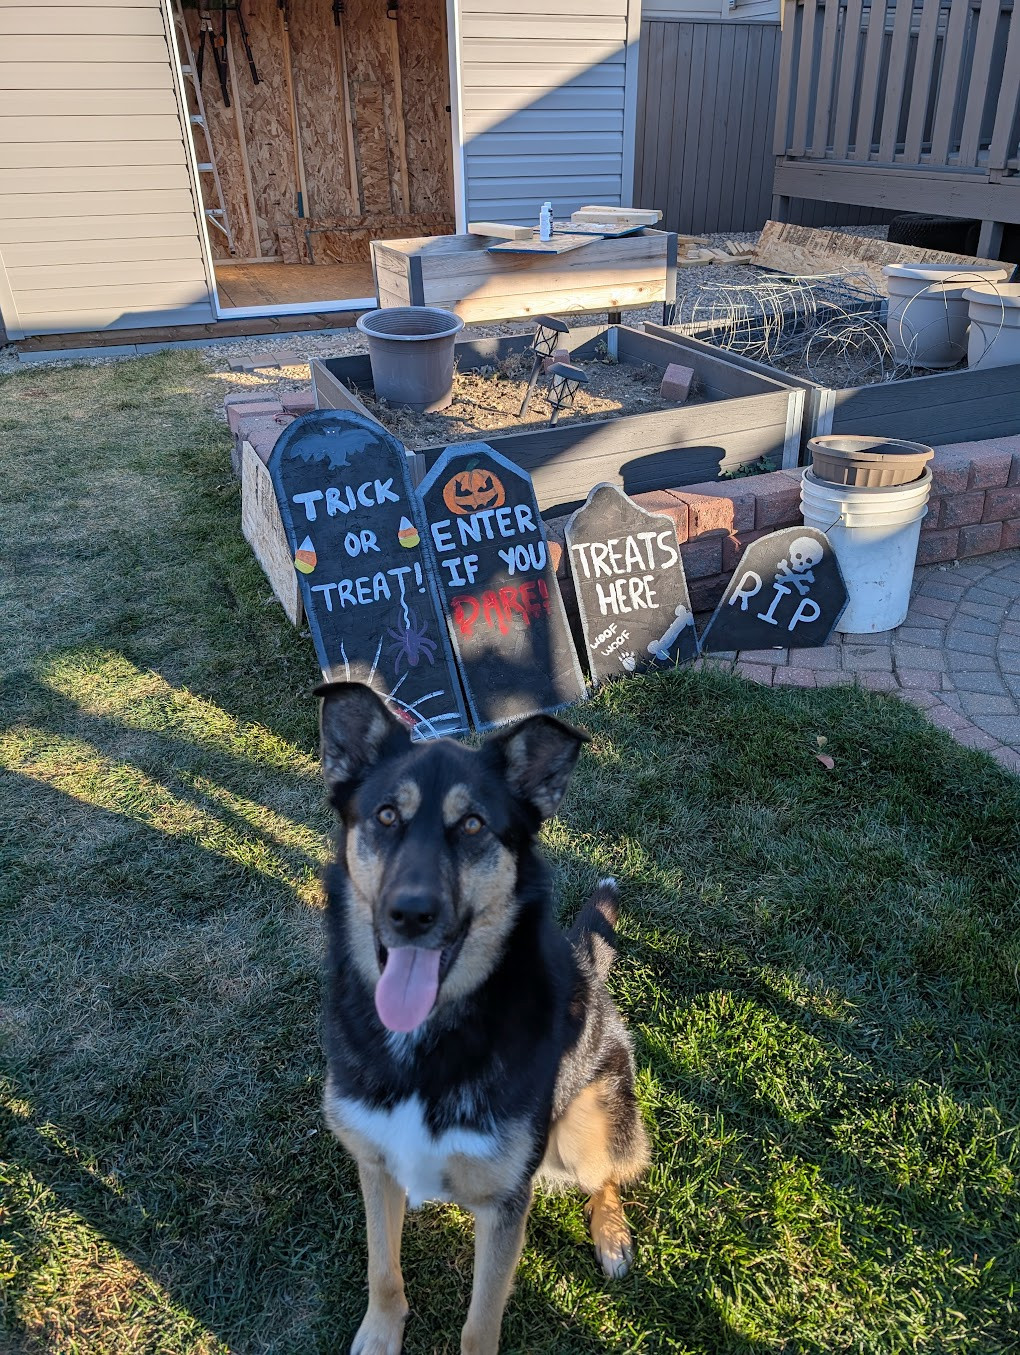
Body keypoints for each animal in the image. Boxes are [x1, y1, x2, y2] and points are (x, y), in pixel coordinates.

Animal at [318, 688, 647, 1355]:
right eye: (386, 816)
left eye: (472, 825)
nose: (410, 914)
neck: (429, 1041)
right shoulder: (374, 1164)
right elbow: (382, 1268)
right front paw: (381, 1332)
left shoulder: (504, 1205)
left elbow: (480, 1321)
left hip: (586, 1127)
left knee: (607, 1177)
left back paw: (611, 1234)